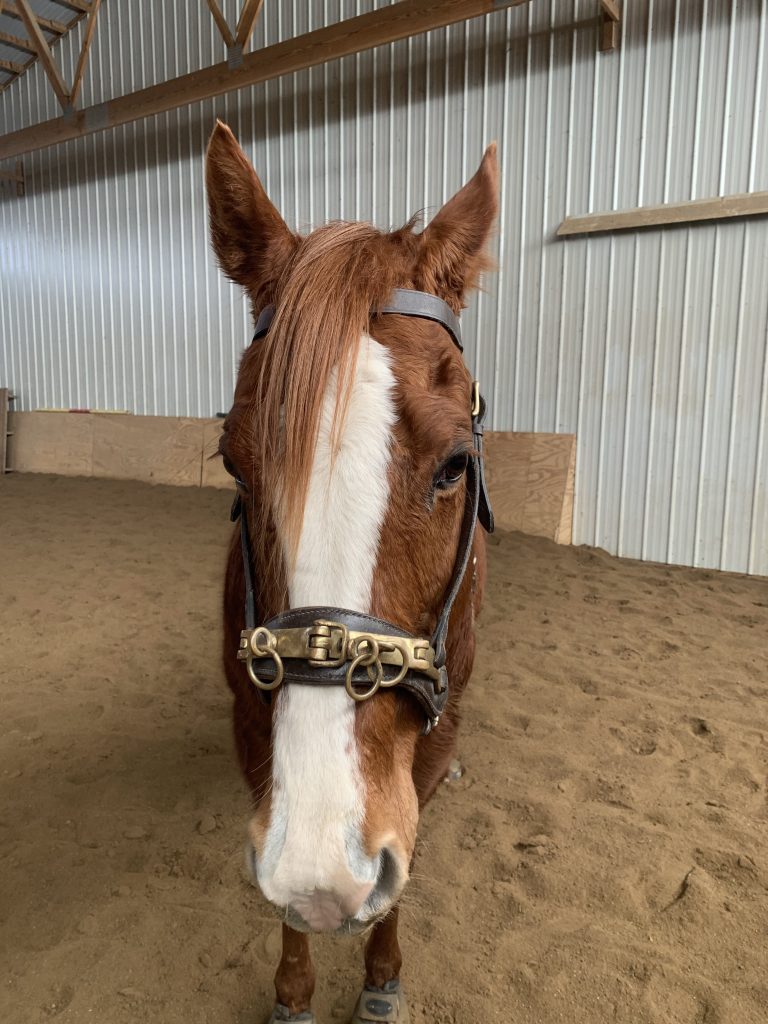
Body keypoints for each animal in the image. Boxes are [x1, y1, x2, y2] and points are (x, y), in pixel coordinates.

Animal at [206, 120, 498, 1024]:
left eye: (454, 465)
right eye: (234, 464)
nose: (323, 869)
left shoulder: (432, 741)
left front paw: (381, 979)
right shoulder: (251, 722)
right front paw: (295, 990)